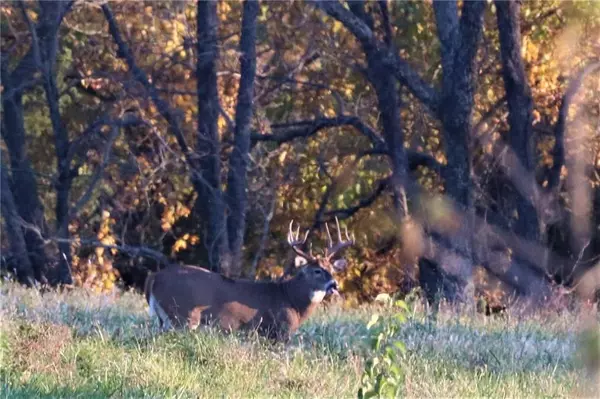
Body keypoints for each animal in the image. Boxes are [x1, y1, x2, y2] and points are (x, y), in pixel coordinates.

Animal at [144, 217, 354, 342]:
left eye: (331, 270)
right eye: (317, 270)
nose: (334, 285)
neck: (292, 301)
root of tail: (155, 277)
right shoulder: (280, 331)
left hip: (165, 318)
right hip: (183, 315)